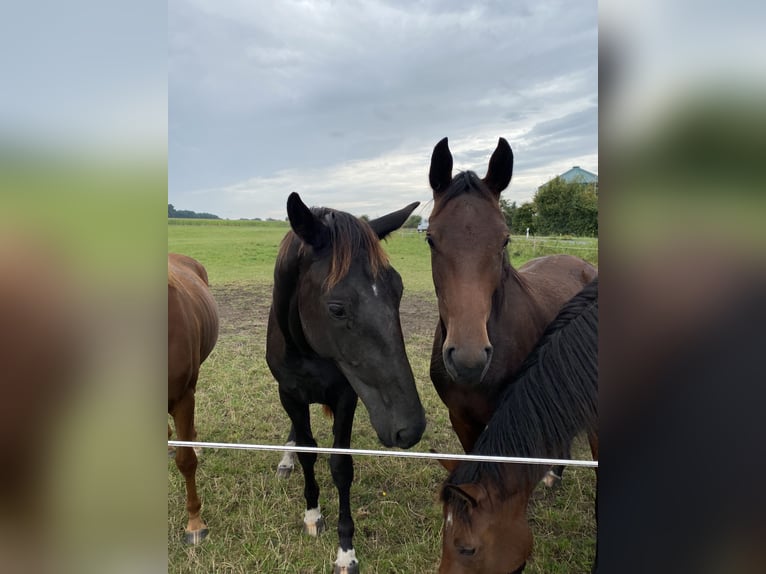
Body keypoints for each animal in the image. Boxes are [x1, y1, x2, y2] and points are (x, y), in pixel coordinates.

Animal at [268, 192, 428, 574]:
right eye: (337, 309)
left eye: (399, 290)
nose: (410, 428)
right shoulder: (290, 395)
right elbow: (309, 453)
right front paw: (312, 514)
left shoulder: (346, 397)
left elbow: (341, 466)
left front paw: (345, 549)